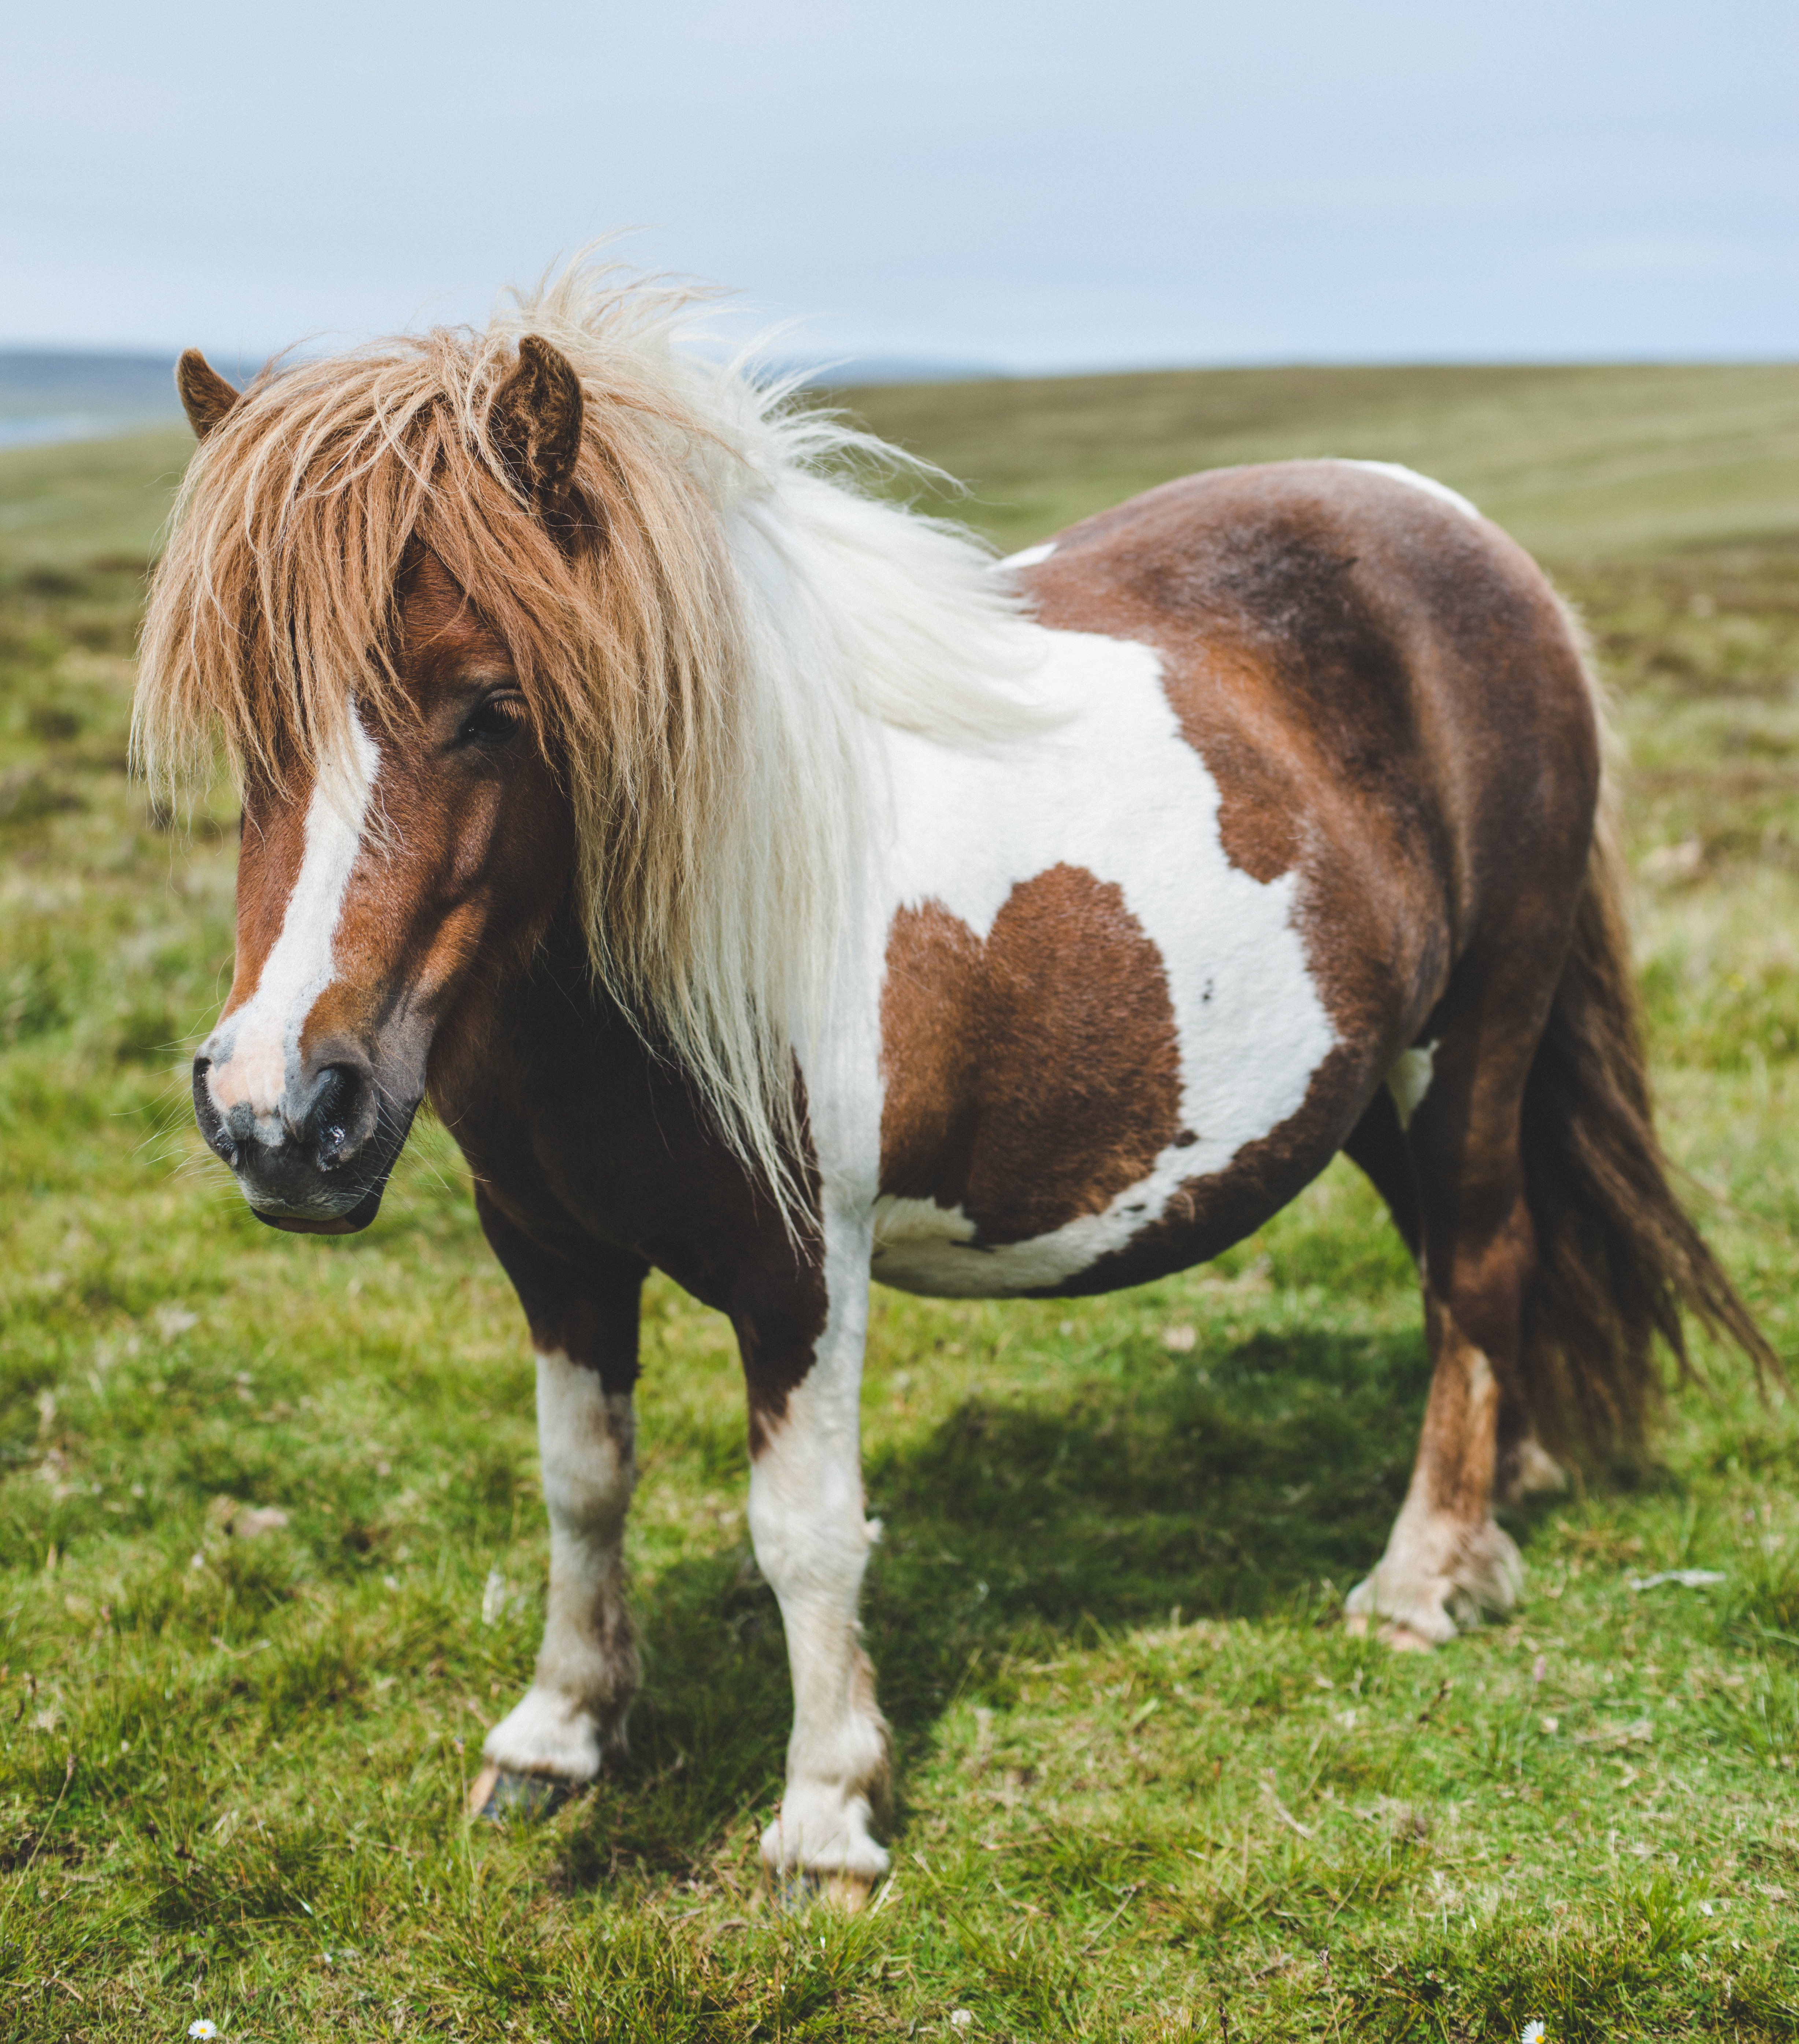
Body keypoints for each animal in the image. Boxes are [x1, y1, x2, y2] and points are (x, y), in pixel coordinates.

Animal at [137, 263, 1774, 1888]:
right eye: (249, 713)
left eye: (491, 704)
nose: (280, 1115)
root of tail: (1479, 548)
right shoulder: (548, 1245)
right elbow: (579, 1483)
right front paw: (557, 1738)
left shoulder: (802, 1268)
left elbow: (804, 1529)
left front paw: (826, 1814)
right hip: (1364, 1083)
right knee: (1466, 1268)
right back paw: (1508, 1493)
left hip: (1476, 1039)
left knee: (1481, 1259)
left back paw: (1425, 1574)